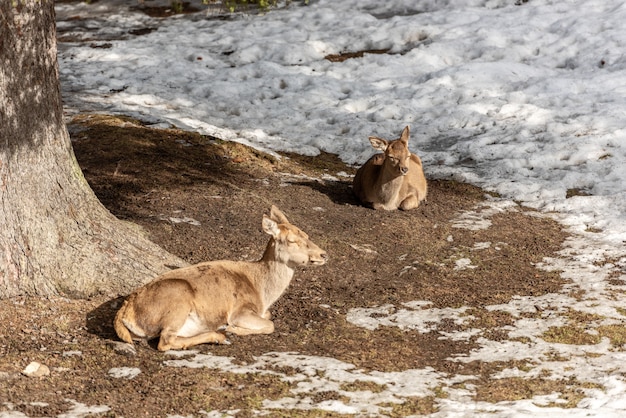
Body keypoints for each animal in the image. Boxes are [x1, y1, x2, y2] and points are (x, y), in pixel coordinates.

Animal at [113, 204, 326, 352]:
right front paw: (234, 329)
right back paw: (221, 335)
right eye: (292, 240)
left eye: (307, 235)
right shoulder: (240, 310)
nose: (323, 254)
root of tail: (125, 312)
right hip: (178, 298)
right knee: (165, 341)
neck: (262, 292)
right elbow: (270, 324)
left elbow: (269, 316)